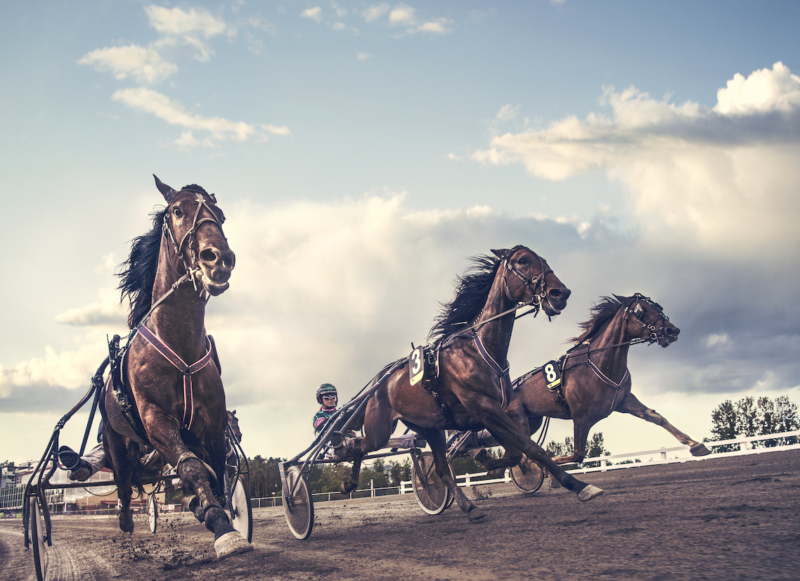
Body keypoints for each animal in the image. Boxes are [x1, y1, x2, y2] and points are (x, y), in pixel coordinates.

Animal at [101, 177, 250, 556]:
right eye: (178, 210)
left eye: (221, 215)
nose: (219, 257)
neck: (179, 342)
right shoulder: (156, 419)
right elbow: (192, 468)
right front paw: (220, 524)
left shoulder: (212, 423)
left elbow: (216, 471)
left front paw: (220, 513)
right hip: (116, 439)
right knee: (123, 478)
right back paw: (126, 518)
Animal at [340, 244, 604, 516]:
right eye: (523, 260)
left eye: (544, 260)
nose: (560, 293)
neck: (480, 349)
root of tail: (379, 382)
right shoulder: (484, 407)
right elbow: (531, 448)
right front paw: (579, 485)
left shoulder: (494, 412)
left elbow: (513, 453)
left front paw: (489, 461)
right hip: (379, 429)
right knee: (359, 444)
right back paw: (348, 478)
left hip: (428, 427)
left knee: (441, 469)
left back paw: (469, 506)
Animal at [472, 292, 708, 474]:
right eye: (642, 311)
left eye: (658, 307)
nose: (672, 330)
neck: (600, 362)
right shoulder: (581, 415)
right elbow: (577, 454)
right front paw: (550, 466)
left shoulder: (624, 400)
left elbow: (655, 416)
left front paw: (696, 445)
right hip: (516, 416)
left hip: (532, 420)